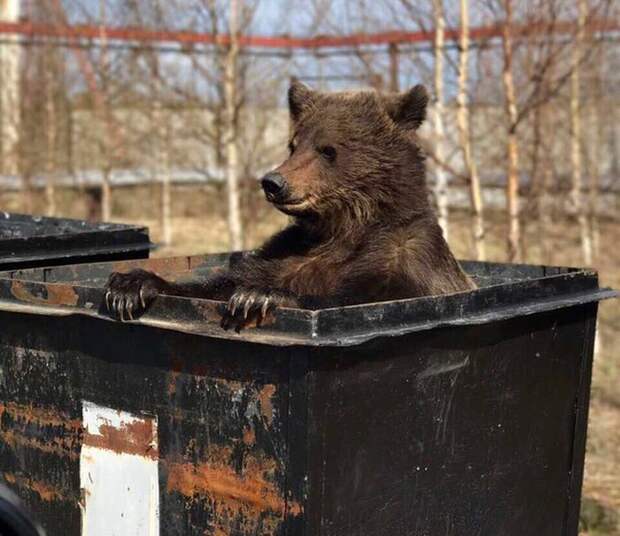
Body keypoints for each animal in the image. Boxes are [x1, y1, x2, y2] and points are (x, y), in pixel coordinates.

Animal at [105, 80, 474, 330]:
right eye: (294, 144)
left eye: (328, 149)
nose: (273, 182)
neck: (341, 226)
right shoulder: (287, 252)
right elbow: (216, 286)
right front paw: (130, 285)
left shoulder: (405, 258)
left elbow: (360, 299)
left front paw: (258, 297)